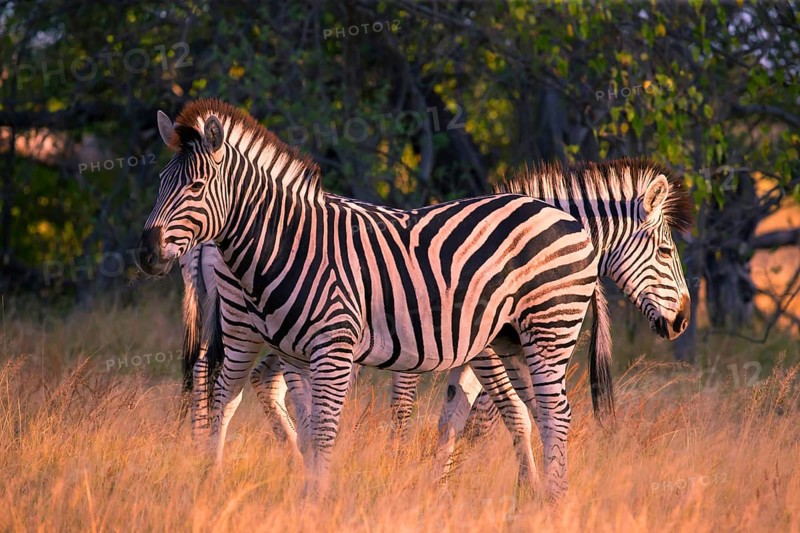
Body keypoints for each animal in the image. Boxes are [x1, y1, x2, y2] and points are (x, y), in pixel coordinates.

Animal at [138, 98, 608, 499]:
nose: (146, 253)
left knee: (556, 411)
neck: (289, 243)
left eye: (196, 185)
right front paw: (296, 492)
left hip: (548, 326)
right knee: (543, 412)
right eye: (160, 183)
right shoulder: (293, 352)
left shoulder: (333, 347)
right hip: (509, 339)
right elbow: (302, 423)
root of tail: (566, 219)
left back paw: (554, 499)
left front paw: (316, 500)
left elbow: (323, 428)